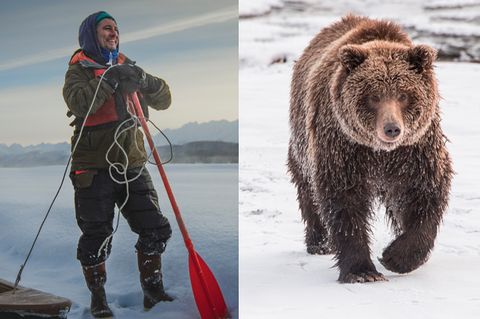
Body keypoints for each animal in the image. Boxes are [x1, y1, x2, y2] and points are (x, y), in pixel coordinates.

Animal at [288, 15, 454, 284]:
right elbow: (344, 202)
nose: (392, 129)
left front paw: (395, 257)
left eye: (403, 95)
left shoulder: (415, 150)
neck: (379, 153)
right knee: (307, 188)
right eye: (374, 96)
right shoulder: (343, 147)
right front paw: (363, 272)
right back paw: (319, 242)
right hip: (303, 139)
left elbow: (424, 193)